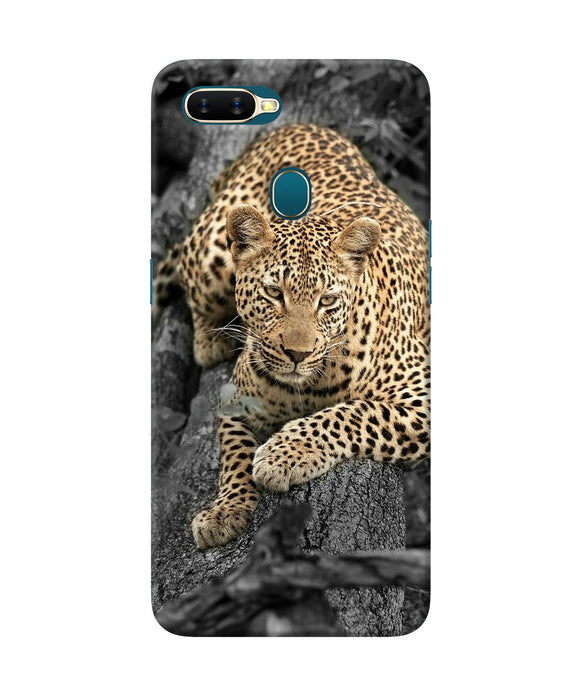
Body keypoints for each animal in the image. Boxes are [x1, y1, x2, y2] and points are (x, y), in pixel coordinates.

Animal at [154, 123, 430, 550]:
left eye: (327, 300)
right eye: (273, 293)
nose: (297, 354)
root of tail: (293, 125)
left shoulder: (422, 395)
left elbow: (354, 413)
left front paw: (283, 455)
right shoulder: (235, 400)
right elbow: (234, 455)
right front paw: (225, 511)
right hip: (212, 251)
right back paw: (211, 339)